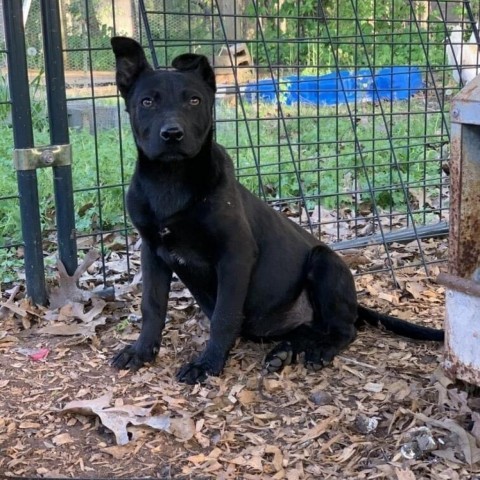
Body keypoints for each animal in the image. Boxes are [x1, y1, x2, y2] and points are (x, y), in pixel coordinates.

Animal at [109, 35, 442, 384]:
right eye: (147, 102)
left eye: (195, 101)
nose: (172, 134)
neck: (170, 180)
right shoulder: (152, 251)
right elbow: (152, 306)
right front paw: (141, 350)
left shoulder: (235, 255)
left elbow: (224, 316)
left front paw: (208, 363)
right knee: (309, 330)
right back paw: (284, 351)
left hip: (325, 263)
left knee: (344, 330)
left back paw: (318, 351)